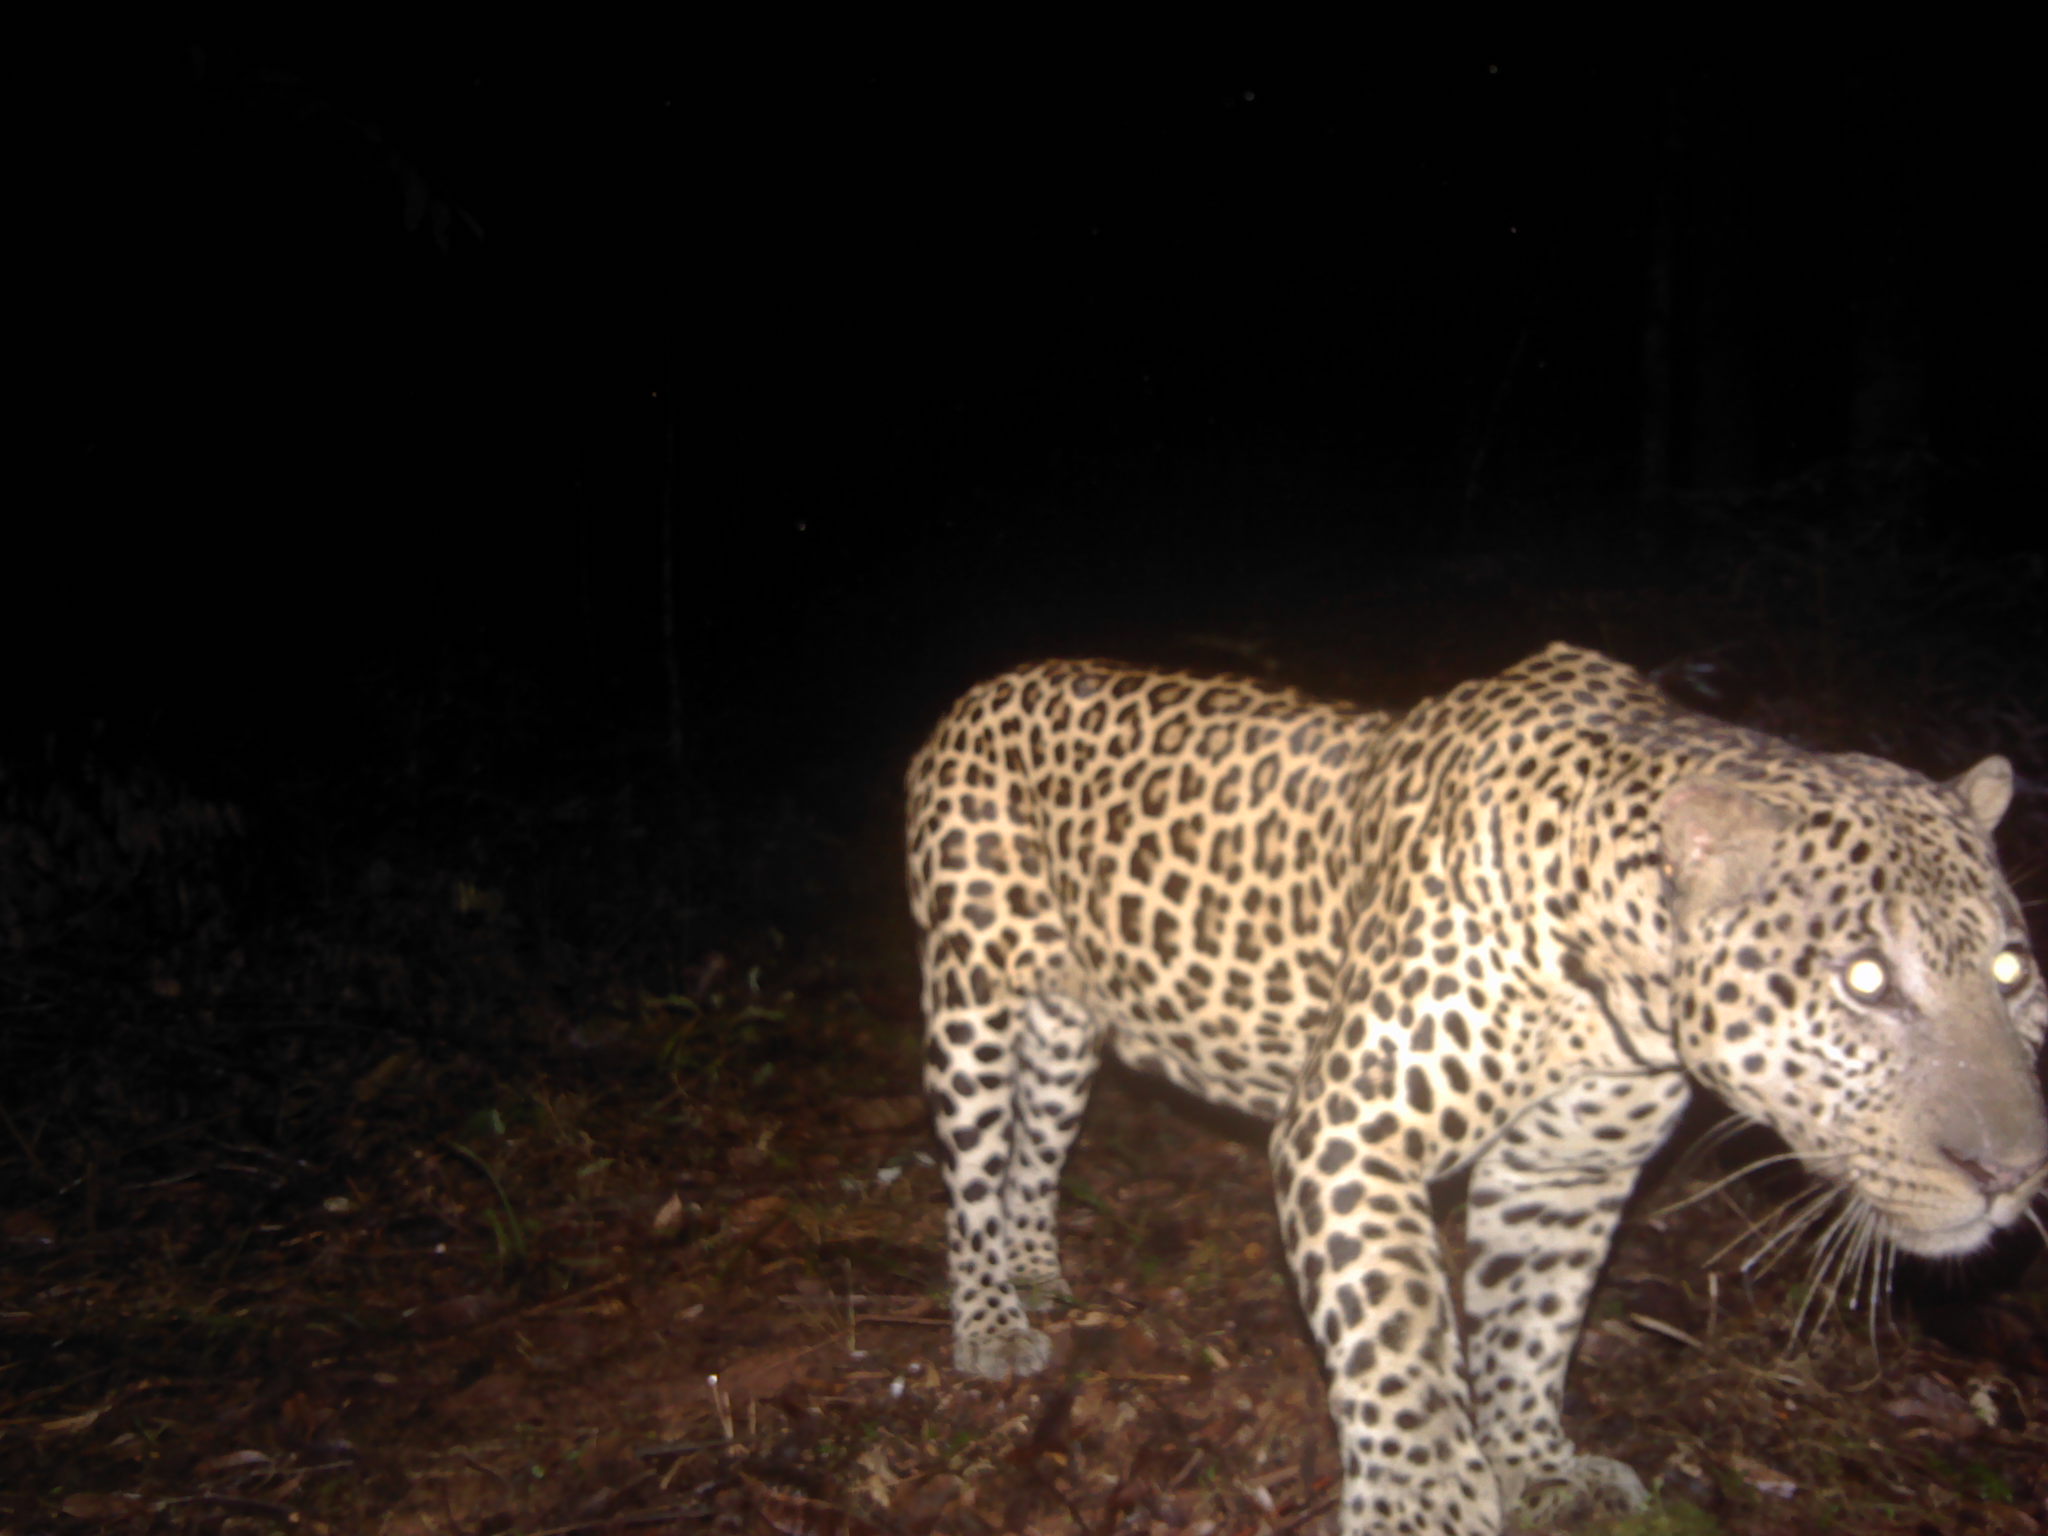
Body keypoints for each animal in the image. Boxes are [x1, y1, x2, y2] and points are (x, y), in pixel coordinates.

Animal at [905, 642, 2048, 1536]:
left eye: (2008, 971)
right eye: (1865, 980)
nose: (2008, 1172)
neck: (1622, 991)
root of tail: (988, 686)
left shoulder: (1568, 1167)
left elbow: (1532, 1325)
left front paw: (1538, 1468)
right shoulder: (1351, 1127)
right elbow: (1398, 1328)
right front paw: (1422, 1501)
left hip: (1065, 1030)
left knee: (1034, 1154)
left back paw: (1038, 1275)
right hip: (969, 1003)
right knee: (967, 1174)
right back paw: (990, 1324)